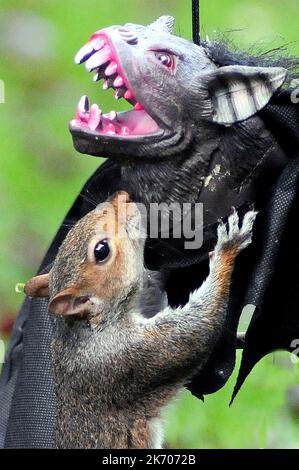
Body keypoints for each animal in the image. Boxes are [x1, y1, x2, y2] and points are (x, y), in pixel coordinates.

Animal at [24, 193, 258, 450]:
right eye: (101, 250)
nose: (122, 197)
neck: (92, 327)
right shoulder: (128, 356)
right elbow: (198, 328)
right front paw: (228, 247)